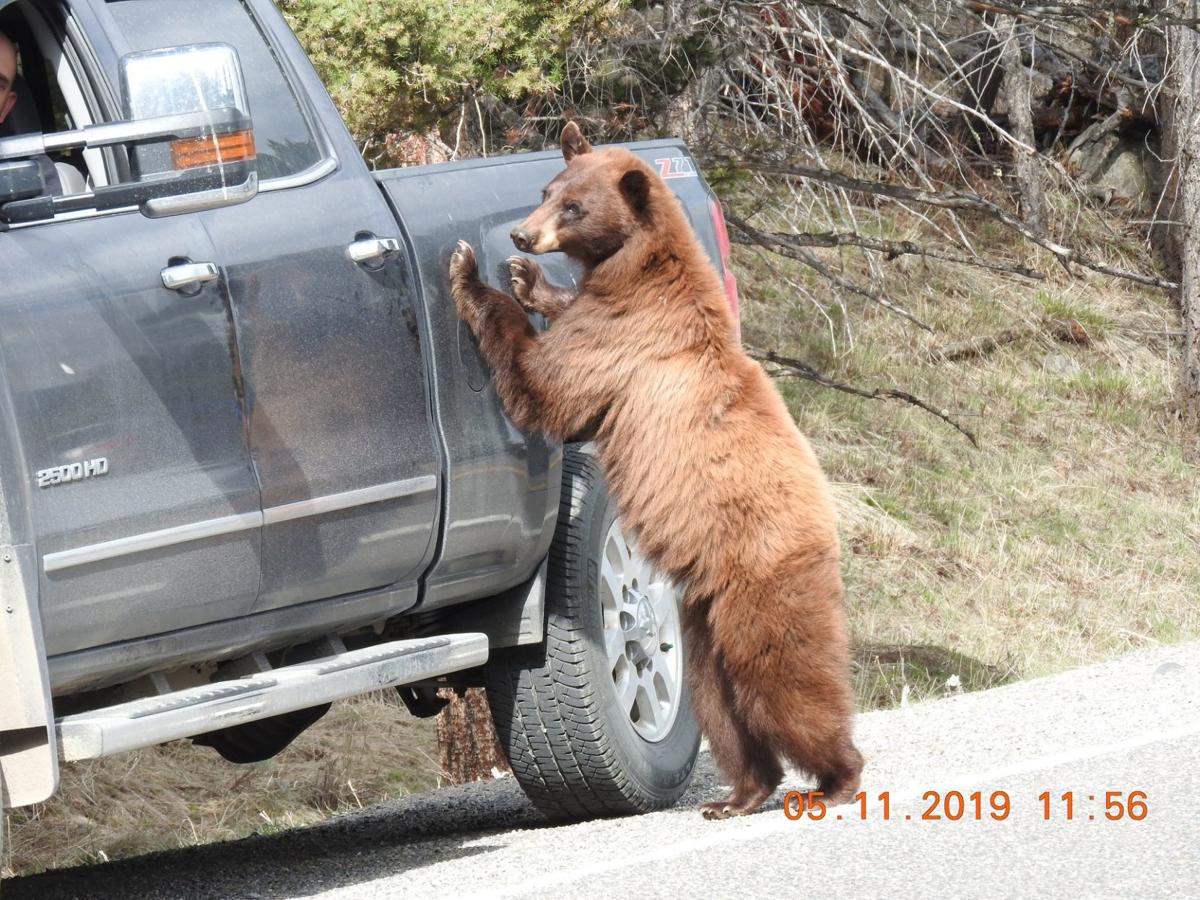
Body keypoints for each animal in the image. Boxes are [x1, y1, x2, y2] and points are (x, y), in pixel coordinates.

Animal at [448, 122, 863, 819]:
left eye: (573, 207)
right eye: (547, 190)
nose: (521, 238)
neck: (632, 267)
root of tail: (826, 526)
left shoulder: (621, 336)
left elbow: (544, 385)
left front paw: (470, 272)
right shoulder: (607, 310)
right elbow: (561, 320)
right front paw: (529, 280)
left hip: (762, 575)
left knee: (782, 675)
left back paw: (836, 776)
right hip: (704, 618)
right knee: (718, 701)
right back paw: (740, 793)